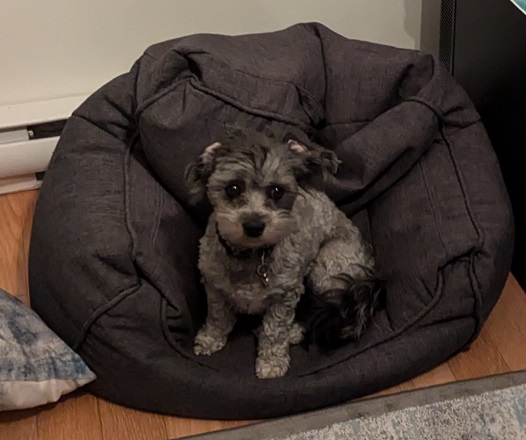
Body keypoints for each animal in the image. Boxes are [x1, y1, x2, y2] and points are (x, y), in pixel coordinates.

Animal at [186, 126, 384, 378]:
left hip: (325, 268)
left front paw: (271, 362)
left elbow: (275, 331)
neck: (250, 257)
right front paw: (210, 340)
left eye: (277, 191)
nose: (254, 226)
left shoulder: (286, 296)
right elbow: (217, 316)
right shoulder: (214, 287)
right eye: (233, 188)